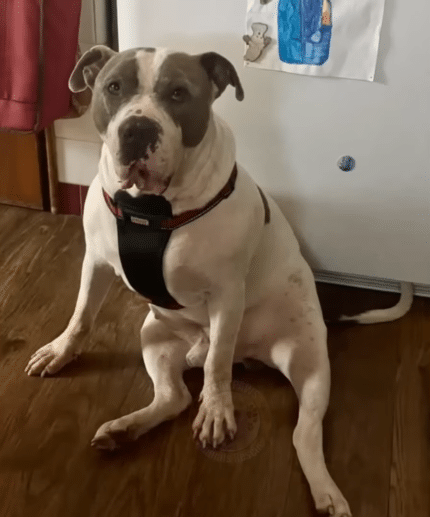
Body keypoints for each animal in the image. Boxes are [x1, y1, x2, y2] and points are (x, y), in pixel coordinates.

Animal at [25, 45, 413, 517]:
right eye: (113, 87)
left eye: (178, 93)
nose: (137, 129)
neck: (150, 208)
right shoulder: (96, 262)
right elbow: (82, 314)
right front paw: (60, 352)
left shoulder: (227, 296)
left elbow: (217, 364)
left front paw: (215, 410)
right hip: (154, 337)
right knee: (173, 397)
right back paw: (124, 429)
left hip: (308, 363)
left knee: (302, 431)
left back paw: (326, 493)